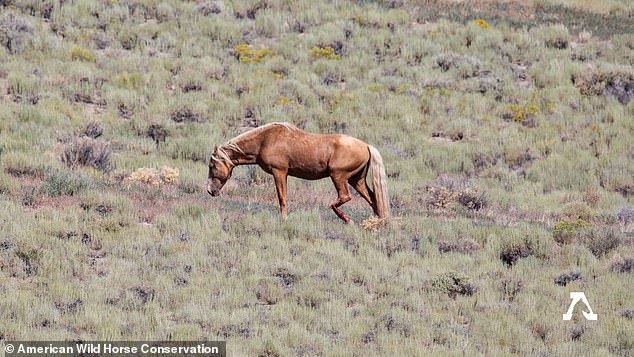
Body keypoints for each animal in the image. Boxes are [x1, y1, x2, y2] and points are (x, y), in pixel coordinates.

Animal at [207, 122, 388, 222]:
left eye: (211, 165)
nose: (210, 191)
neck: (265, 140)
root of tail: (367, 146)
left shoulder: (279, 172)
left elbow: (282, 198)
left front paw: (284, 218)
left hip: (338, 176)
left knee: (344, 197)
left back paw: (347, 219)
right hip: (356, 180)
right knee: (373, 199)